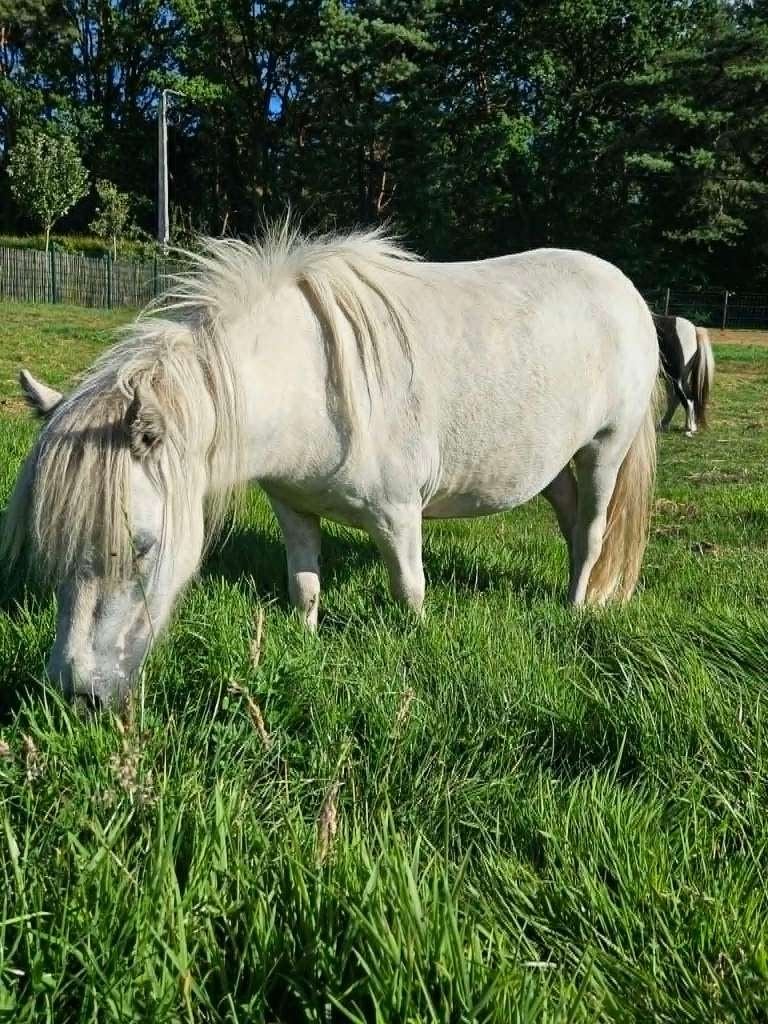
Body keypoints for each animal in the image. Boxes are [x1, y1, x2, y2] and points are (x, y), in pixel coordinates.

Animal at [2, 223, 659, 709]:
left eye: (141, 547)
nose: (76, 694)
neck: (306, 385)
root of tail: (625, 287)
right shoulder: (293, 508)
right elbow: (304, 587)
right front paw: (308, 645)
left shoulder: (398, 516)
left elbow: (409, 592)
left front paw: (414, 654)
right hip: (552, 465)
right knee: (570, 519)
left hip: (605, 449)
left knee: (593, 531)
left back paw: (576, 608)